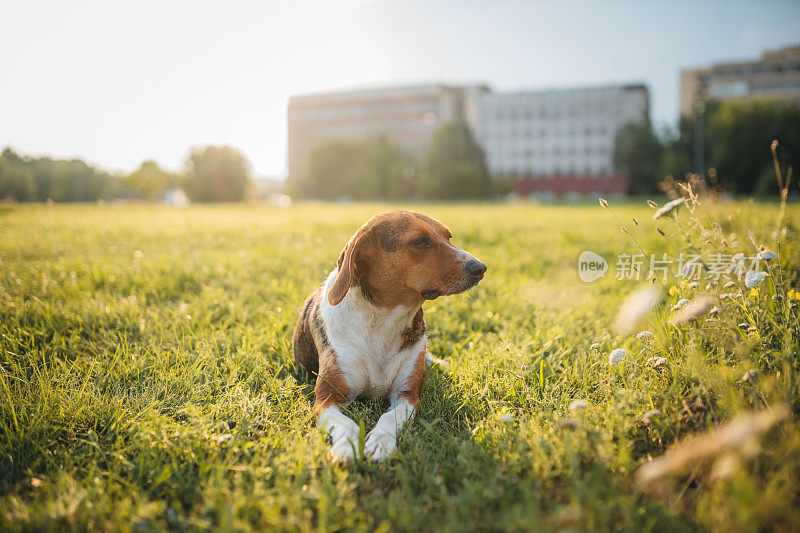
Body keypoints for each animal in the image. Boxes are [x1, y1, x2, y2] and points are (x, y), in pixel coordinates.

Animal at [290, 210, 484, 460]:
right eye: (420, 242)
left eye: (448, 237)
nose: (480, 268)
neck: (382, 321)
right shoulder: (326, 399)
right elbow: (345, 423)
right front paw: (348, 445)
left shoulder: (406, 395)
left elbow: (390, 417)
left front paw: (380, 441)